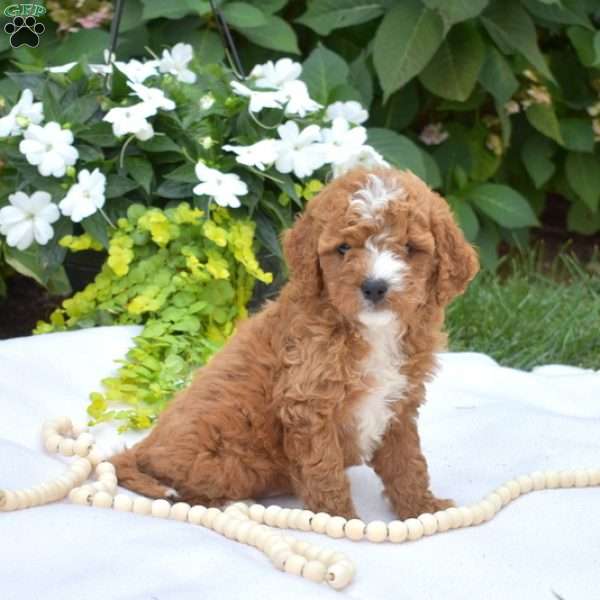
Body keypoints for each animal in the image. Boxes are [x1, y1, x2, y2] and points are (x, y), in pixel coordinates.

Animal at [111, 166, 478, 516]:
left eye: (410, 249)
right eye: (343, 248)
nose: (374, 286)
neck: (371, 332)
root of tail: (144, 447)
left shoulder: (399, 403)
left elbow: (407, 462)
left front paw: (421, 508)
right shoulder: (308, 404)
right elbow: (324, 471)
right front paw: (340, 521)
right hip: (222, 460)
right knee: (190, 491)